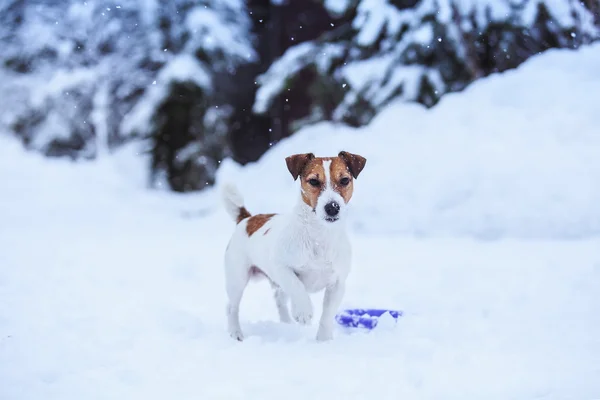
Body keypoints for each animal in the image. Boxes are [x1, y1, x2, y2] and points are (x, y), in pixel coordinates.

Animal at [220, 150, 366, 340]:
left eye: (344, 180)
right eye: (314, 181)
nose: (332, 207)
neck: (319, 235)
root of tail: (247, 218)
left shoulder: (337, 283)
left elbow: (327, 315)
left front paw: (324, 340)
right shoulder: (281, 268)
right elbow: (296, 287)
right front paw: (303, 312)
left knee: (279, 298)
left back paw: (286, 323)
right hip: (237, 277)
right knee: (232, 307)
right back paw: (236, 333)